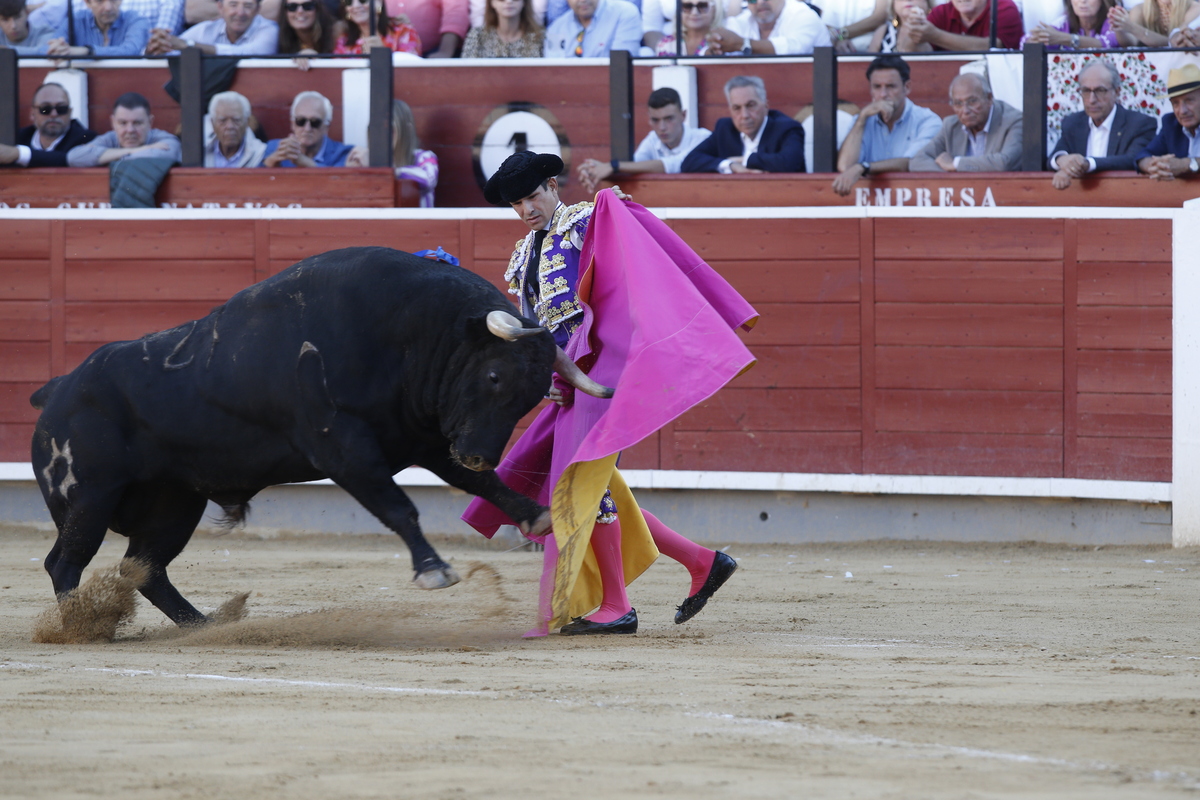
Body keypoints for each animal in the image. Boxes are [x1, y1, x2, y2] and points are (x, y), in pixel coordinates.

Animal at [30, 247, 609, 628]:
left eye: (531, 396)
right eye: (494, 376)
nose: (478, 455)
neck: (408, 335)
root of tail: (58, 389)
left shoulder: (425, 438)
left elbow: (482, 488)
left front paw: (535, 515)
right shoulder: (344, 449)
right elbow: (399, 507)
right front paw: (434, 571)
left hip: (177, 501)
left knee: (144, 567)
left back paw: (203, 624)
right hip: (91, 495)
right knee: (65, 562)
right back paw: (80, 627)